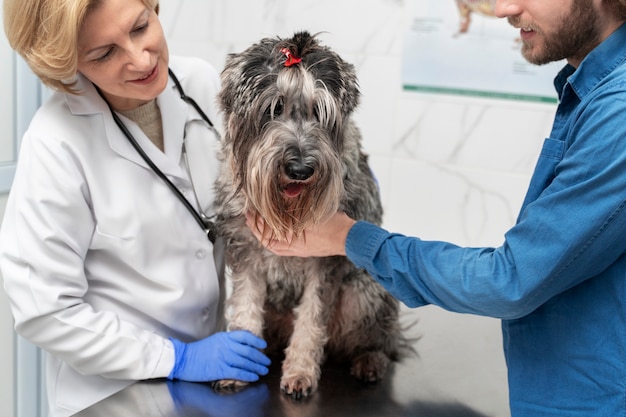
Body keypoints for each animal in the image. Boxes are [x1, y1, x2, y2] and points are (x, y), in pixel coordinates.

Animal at [213, 31, 410, 396]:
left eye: (320, 112)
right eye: (274, 107)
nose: (301, 169)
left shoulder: (325, 265)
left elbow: (311, 321)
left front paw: (300, 373)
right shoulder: (246, 253)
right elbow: (246, 309)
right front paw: (237, 364)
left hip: (364, 294)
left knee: (382, 342)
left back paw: (369, 361)